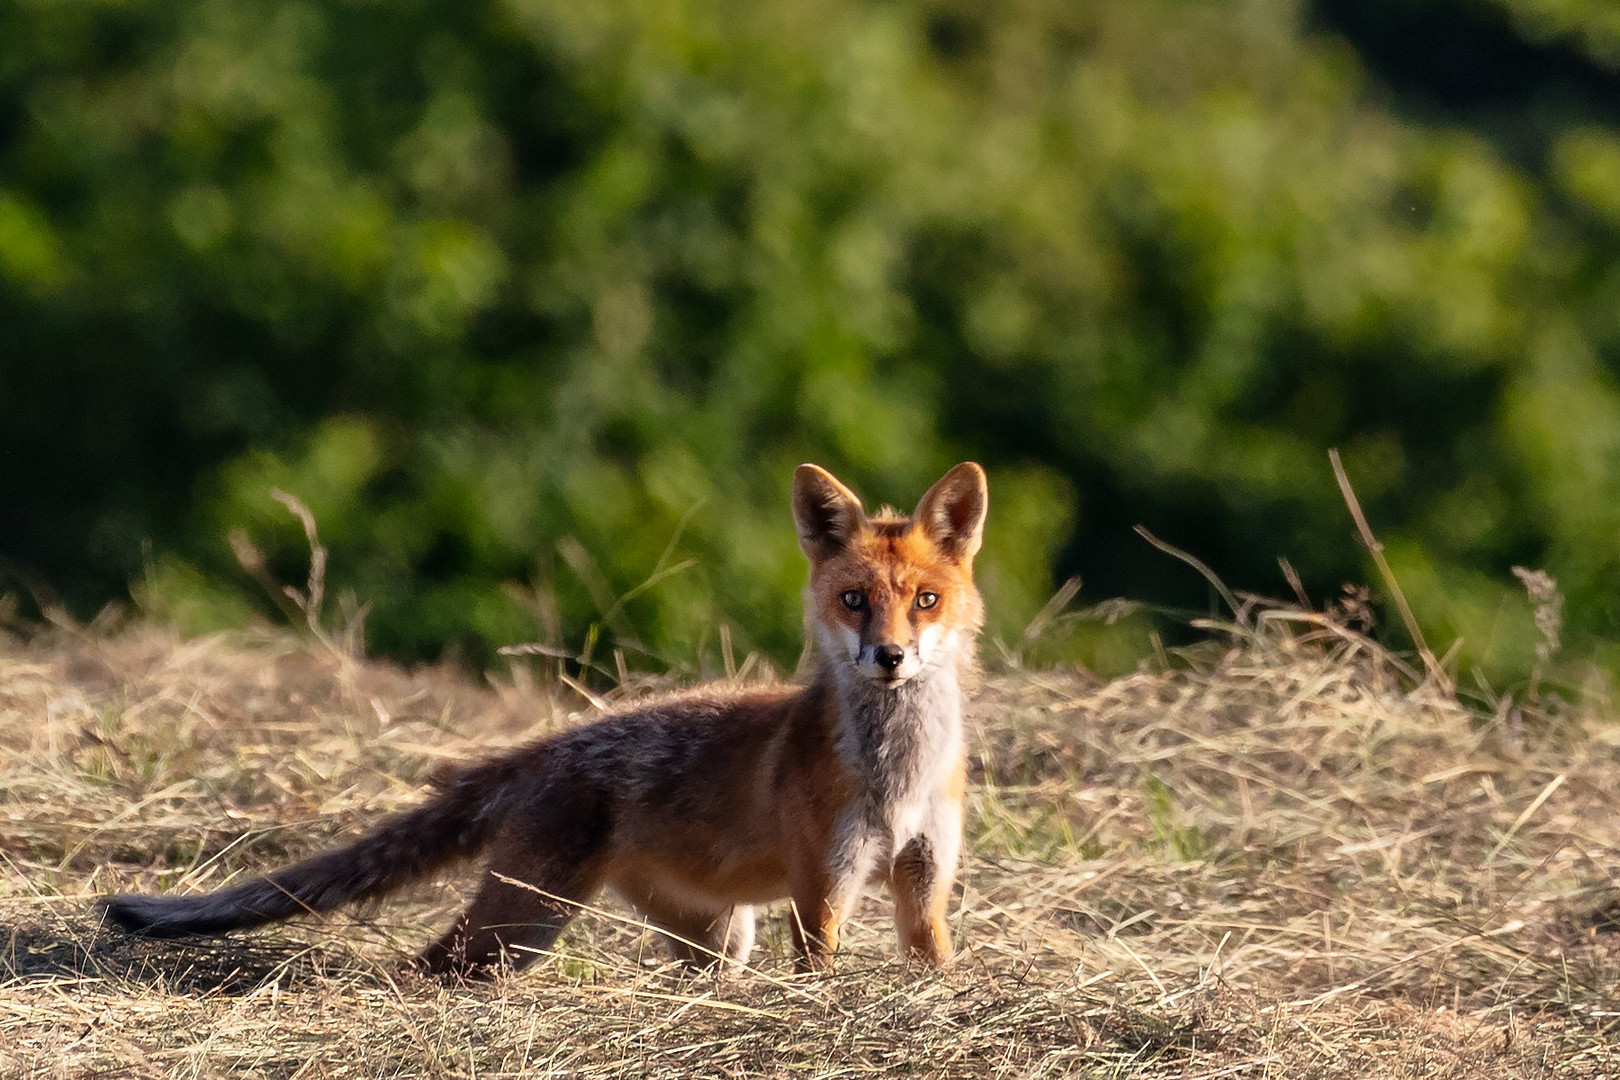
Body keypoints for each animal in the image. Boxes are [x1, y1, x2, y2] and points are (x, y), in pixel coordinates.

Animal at [104, 459, 984, 977]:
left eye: (925, 601)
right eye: (854, 600)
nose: (890, 657)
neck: (897, 776)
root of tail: (544, 749)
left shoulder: (924, 879)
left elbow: (933, 960)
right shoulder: (821, 889)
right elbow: (822, 972)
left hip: (711, 933)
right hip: (529, 917)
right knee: (431, 962)